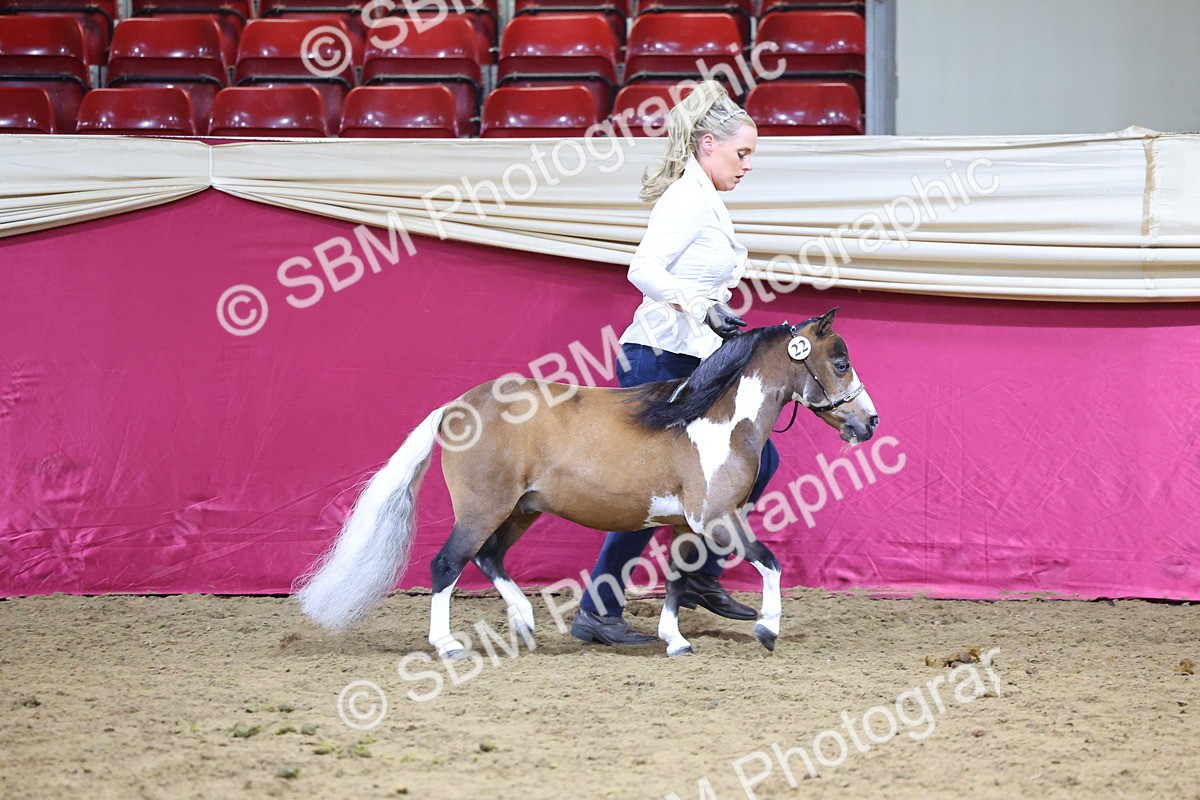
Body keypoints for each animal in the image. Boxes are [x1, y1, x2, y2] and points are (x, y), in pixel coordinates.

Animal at [297, 308, 878, 659]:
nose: (868, 422)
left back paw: (526, 624)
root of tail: (456, 406)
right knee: (446, 564)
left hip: (521, 509)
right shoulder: (718, 518)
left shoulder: (686, 525)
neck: (712, 419)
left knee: (488, 557)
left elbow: (676, 579)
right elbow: (771, 564)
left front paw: (674, 640)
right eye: (840, 362)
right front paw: (766, 629)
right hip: (484, 508)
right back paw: (448, 645)